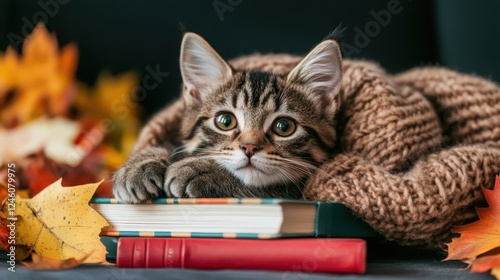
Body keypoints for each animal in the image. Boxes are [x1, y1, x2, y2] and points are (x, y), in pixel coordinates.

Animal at [112, 32, 342, 202]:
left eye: (284, 126)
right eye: (225, 122)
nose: (249, 148)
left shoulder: (298, 190)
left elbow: (266, 184)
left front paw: (200, 170)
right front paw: (139, 165)